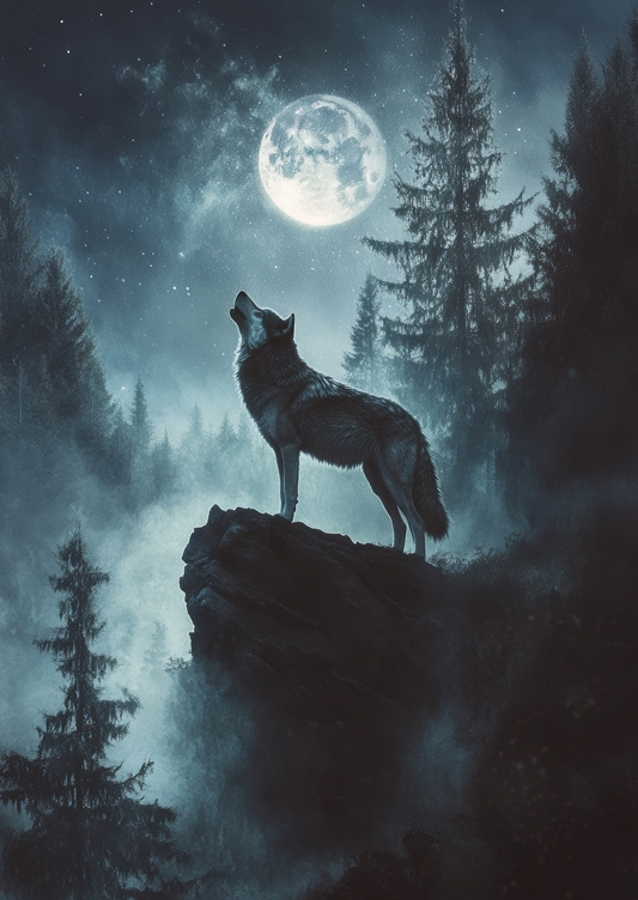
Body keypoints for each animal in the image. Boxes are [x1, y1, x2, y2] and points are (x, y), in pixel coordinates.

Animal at [230, 291, 449, 557]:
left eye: (260, 312)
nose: (241, 293)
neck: (274, 371)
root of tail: (415, 422)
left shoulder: (290, 447)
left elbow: (290, 491)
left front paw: (284, 519)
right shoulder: (279, 451)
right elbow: (282, 490)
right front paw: (281, 515)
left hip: (393, 482)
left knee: (417, 522)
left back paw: (416, 559)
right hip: (378, 483)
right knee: (400, 523)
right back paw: (394, 554)